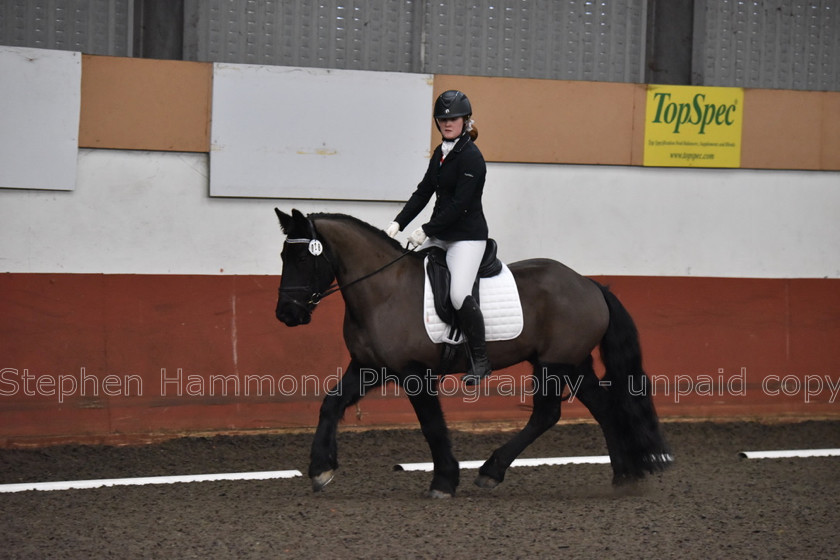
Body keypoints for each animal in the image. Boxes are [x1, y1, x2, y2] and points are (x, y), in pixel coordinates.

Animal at [274, 208, 668, 496]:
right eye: (283, 255)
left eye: (302, 258)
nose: (286, 314)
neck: (383, 292)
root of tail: (590, 284)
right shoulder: (369, 367)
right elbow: (331, 403)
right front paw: (321, 469)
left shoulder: (414, 373)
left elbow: (432, 425)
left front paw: (444, 482)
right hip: (571, 363)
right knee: (597, 408)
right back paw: (623, 476)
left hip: (556, 363)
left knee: (549, 414)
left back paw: (493, 471)